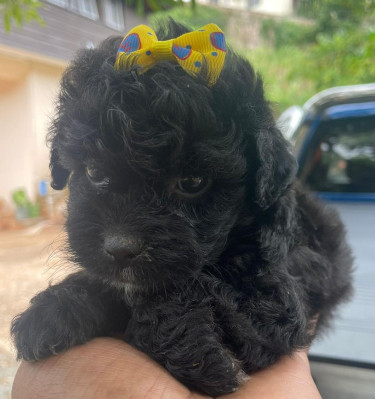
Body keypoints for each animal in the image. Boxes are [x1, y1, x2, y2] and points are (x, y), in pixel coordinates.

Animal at [11, 19, 352, 396]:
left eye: (192, 182)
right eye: (95, 173)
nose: (120, 248)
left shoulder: (277, 303)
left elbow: (185, 292)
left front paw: (199, 354)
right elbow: (110, 282)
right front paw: (54, 310)